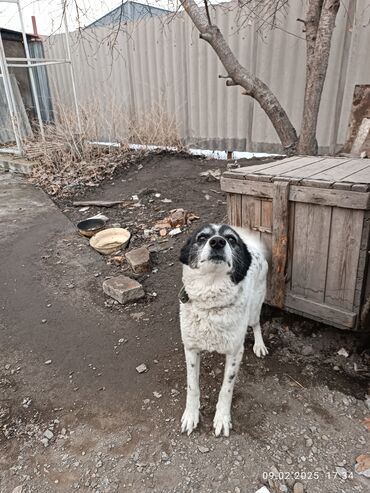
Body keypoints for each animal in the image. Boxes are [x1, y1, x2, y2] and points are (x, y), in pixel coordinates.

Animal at [179, 223, 268, 434]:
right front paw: (191, 415)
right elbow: (192, 387)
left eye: (231, 239)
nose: (218, 242)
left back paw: (259, 345)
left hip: (255, 307)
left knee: (256, 324)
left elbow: (226, 389)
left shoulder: (235, 352)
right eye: (202, 237)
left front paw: (222, 418)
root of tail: (254, 247)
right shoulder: (191, 348)